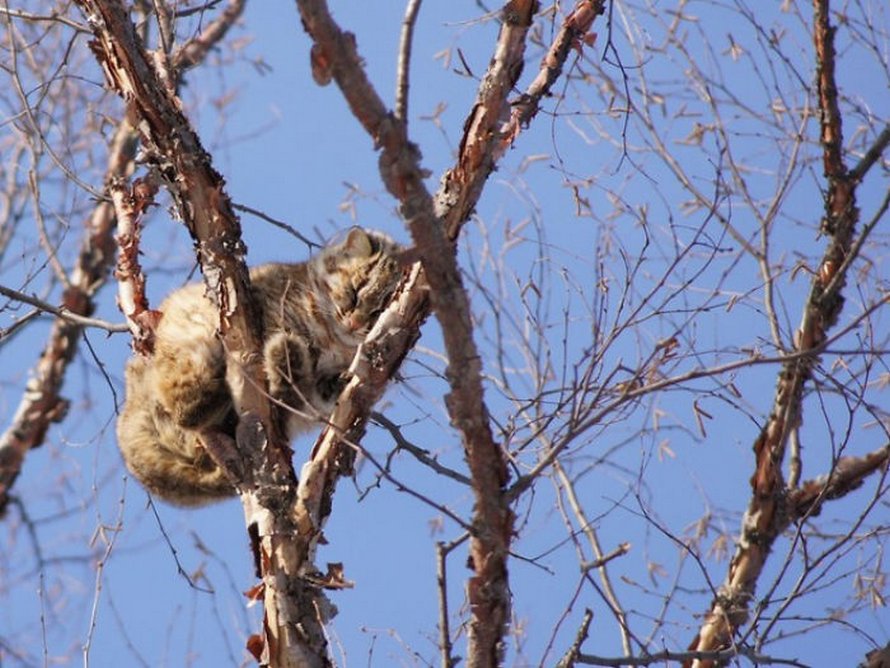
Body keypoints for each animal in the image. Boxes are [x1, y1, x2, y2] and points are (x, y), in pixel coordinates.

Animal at [115, 227, 402, 504]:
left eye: (380, 311)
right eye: (354, 292)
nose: (354, 323)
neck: (334, 338)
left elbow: (321, 392)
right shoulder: (275, 311)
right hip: (193, 339)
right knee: (186, 410)